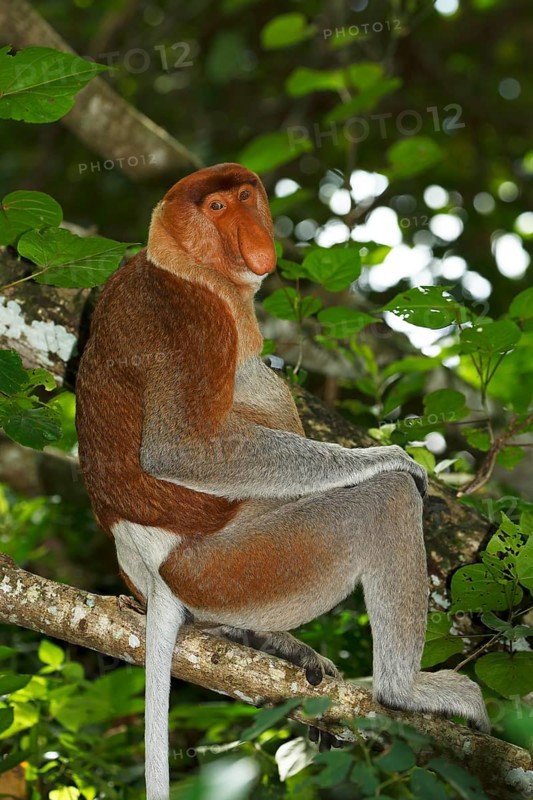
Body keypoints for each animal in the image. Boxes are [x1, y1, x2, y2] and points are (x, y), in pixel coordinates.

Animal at [75, 163, 490, 800]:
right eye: (216, 207)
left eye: (246, 196)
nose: (252, 238)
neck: (185, 265)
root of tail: (149, 567)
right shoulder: (187, 317)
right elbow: (181, 449)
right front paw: (390, 458)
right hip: (239, 567)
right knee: (381, 507)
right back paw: (402, 692)